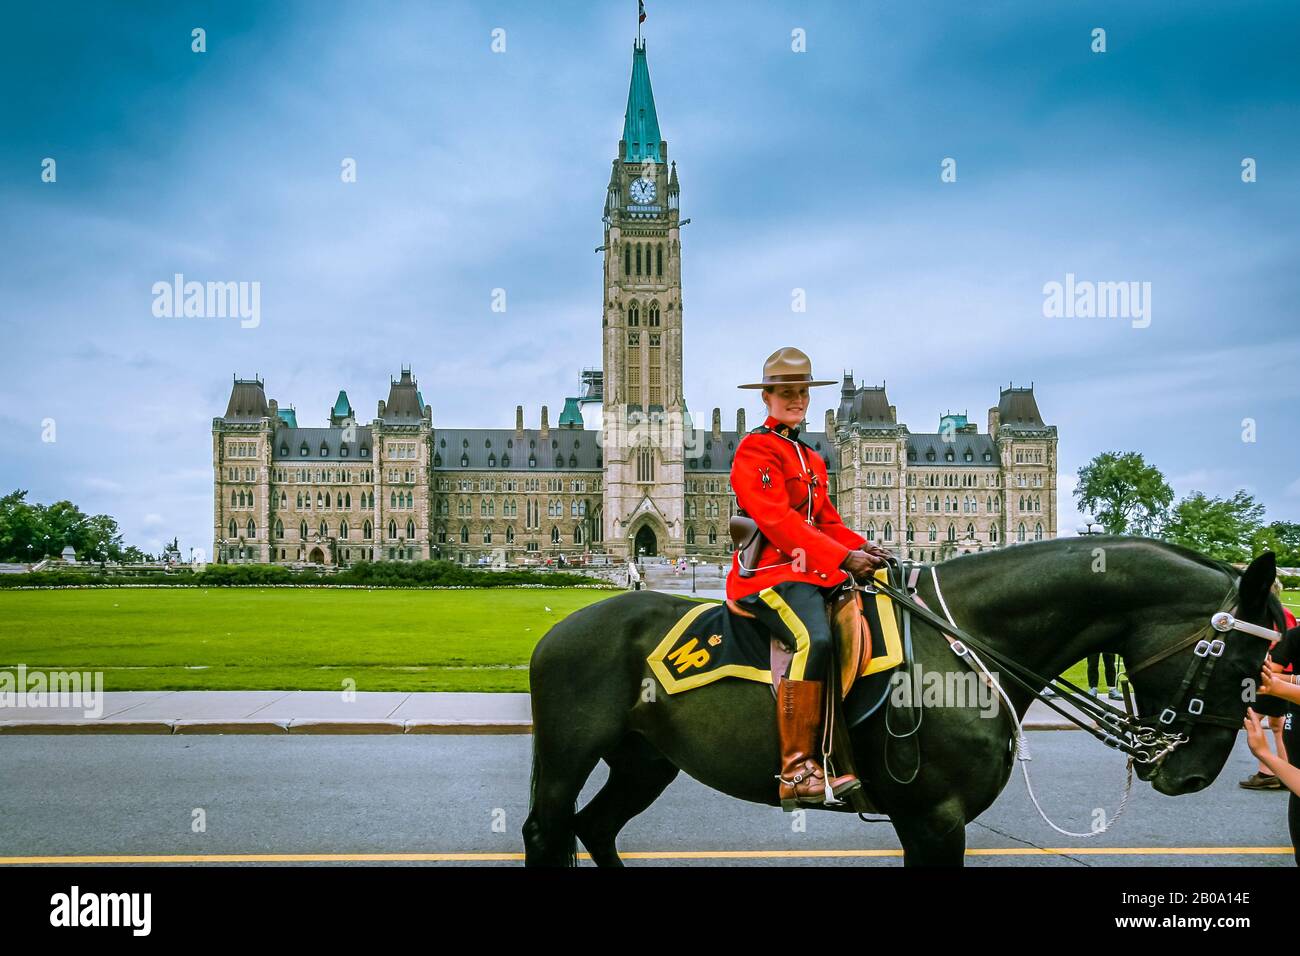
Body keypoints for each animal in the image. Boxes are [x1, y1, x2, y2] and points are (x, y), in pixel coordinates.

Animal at [517, 538, 1279, 868]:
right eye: (1245, 663)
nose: (1192, 776)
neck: (969, 638)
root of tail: (563, 626)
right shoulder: (935, 816)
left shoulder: (925, 820)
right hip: (565, 753)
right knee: (546, 832)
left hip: (646, 760)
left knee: (594, 829)